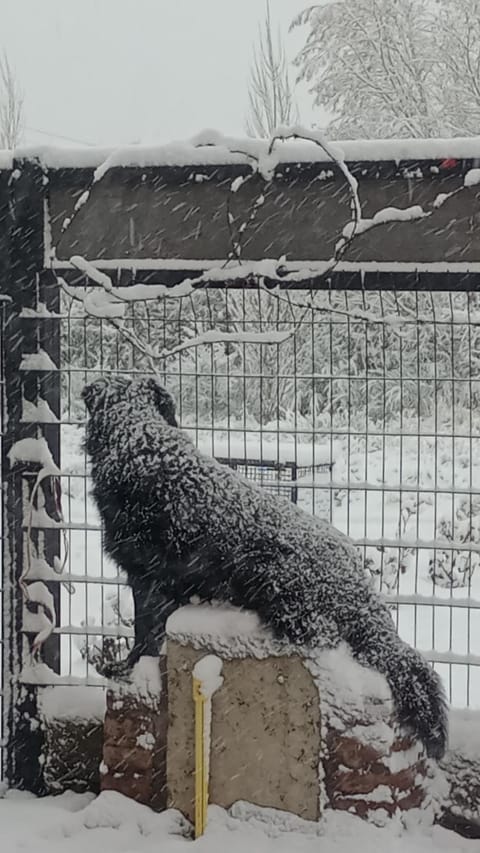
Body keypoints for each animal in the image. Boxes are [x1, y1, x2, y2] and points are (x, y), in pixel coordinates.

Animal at [81, 376, 446, 756]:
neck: (139, 442)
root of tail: (356, 581)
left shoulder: (146, 577)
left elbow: (143, 635)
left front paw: (126, 669)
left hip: (271, 580)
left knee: (321, 636)